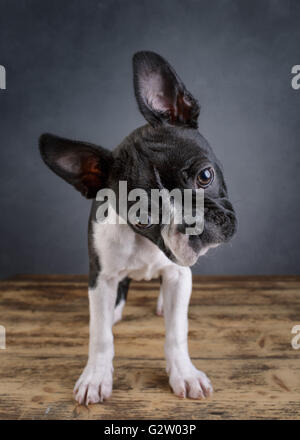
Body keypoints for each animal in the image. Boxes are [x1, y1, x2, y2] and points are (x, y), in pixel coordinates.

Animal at [39, 49, 237, 404]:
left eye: (205, 176)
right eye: (142, 217)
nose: (192, 225)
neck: (145, 244)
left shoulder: (178, 274)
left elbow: (176, 332)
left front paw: (184, 373)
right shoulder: (100, 276)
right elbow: (100, 336)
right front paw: (95, 376)